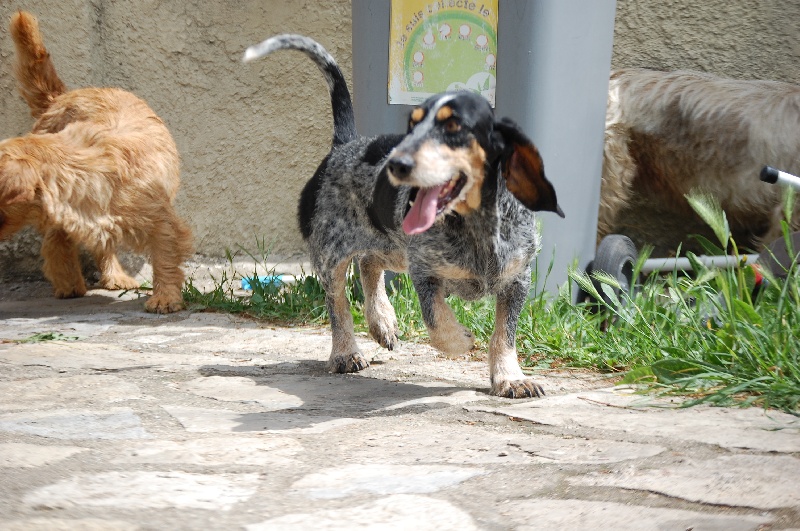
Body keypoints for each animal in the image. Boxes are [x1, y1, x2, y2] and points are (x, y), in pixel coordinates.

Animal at [0, 11, 192, 312]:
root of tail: (61, 98)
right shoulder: (67, 213)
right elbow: (59, 244)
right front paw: (68, 283)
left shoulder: (161, 219)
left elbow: (166, 255)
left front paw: (165, 297)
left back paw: (114, 277)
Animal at [244, 34, 564, 400]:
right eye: (412, 125)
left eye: (453, 125)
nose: (396, 164)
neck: (477, 225)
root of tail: (344, 145)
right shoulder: (424, 272)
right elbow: (437, 321)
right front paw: (461, 340)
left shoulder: (516, 280)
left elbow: (505, 335)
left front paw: (509, 377)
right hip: (332, 255)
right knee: (338, 303)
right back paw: (345, 352)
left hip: (395, 248)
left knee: (369, 262)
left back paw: (382, 321)